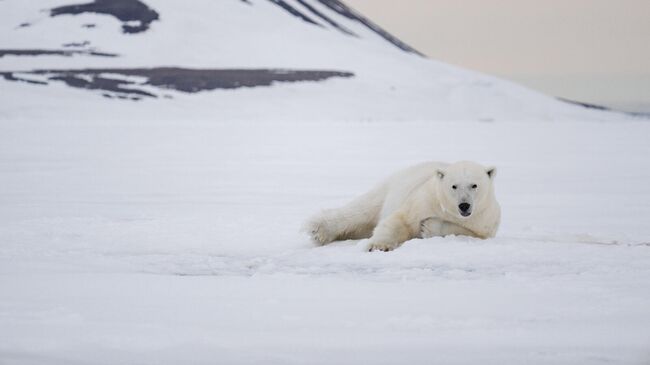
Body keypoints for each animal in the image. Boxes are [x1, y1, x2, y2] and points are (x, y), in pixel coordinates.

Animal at [302, 161, 498, 250]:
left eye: (474, 185)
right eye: (454, 186)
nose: (464, 205)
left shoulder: (484, 219)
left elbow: (468, 232)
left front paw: (428, 227)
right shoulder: (422, 199)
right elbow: (402, 219)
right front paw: (378, 246)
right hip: (390, 190)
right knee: (361, 210)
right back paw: (318, 229)